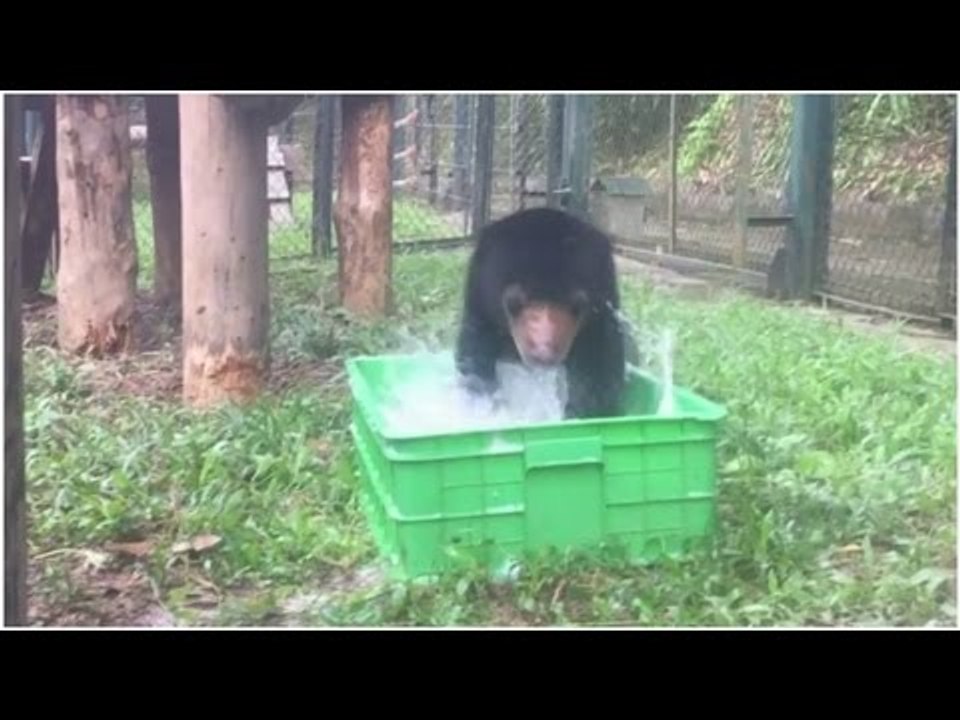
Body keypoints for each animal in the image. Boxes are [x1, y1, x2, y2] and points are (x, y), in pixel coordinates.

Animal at [454, 206, 628, 420]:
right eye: (514, 303)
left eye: (578, 305)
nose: (543, 354)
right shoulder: (481, 309)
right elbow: (474, 355)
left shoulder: (599, 321)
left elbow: (600, 368)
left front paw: (579, 411)